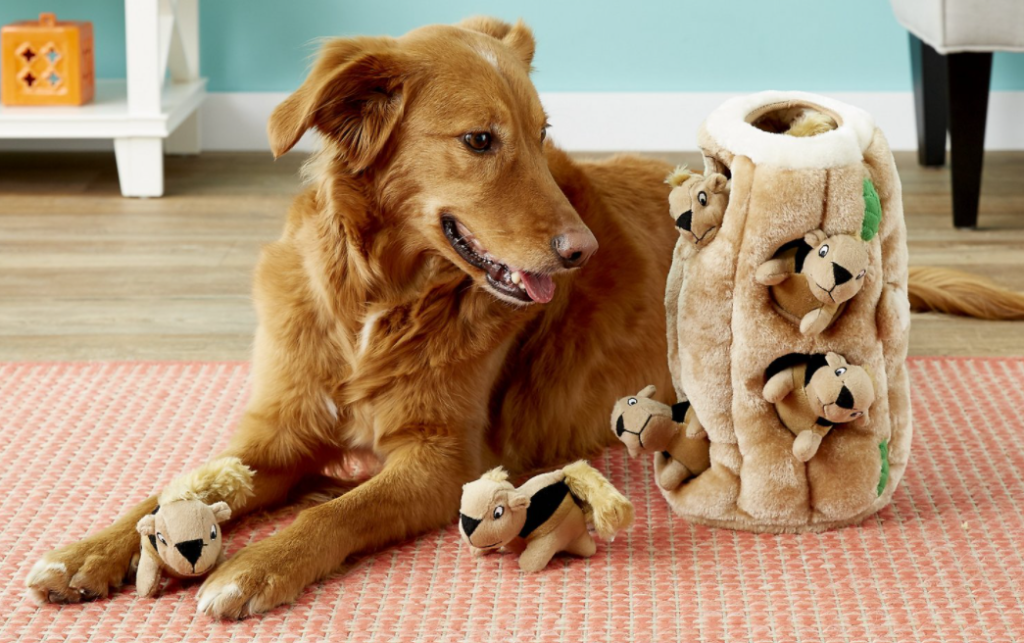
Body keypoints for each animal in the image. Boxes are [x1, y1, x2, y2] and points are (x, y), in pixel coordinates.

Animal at [22, 13, 1024, 618]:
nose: (581, 250)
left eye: (543, 137)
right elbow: (164, 491)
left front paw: (254, 566)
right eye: (479, 141)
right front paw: (86, 551)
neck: (378, 300)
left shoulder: (439, 462)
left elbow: (334, 513)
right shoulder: (276, 435)